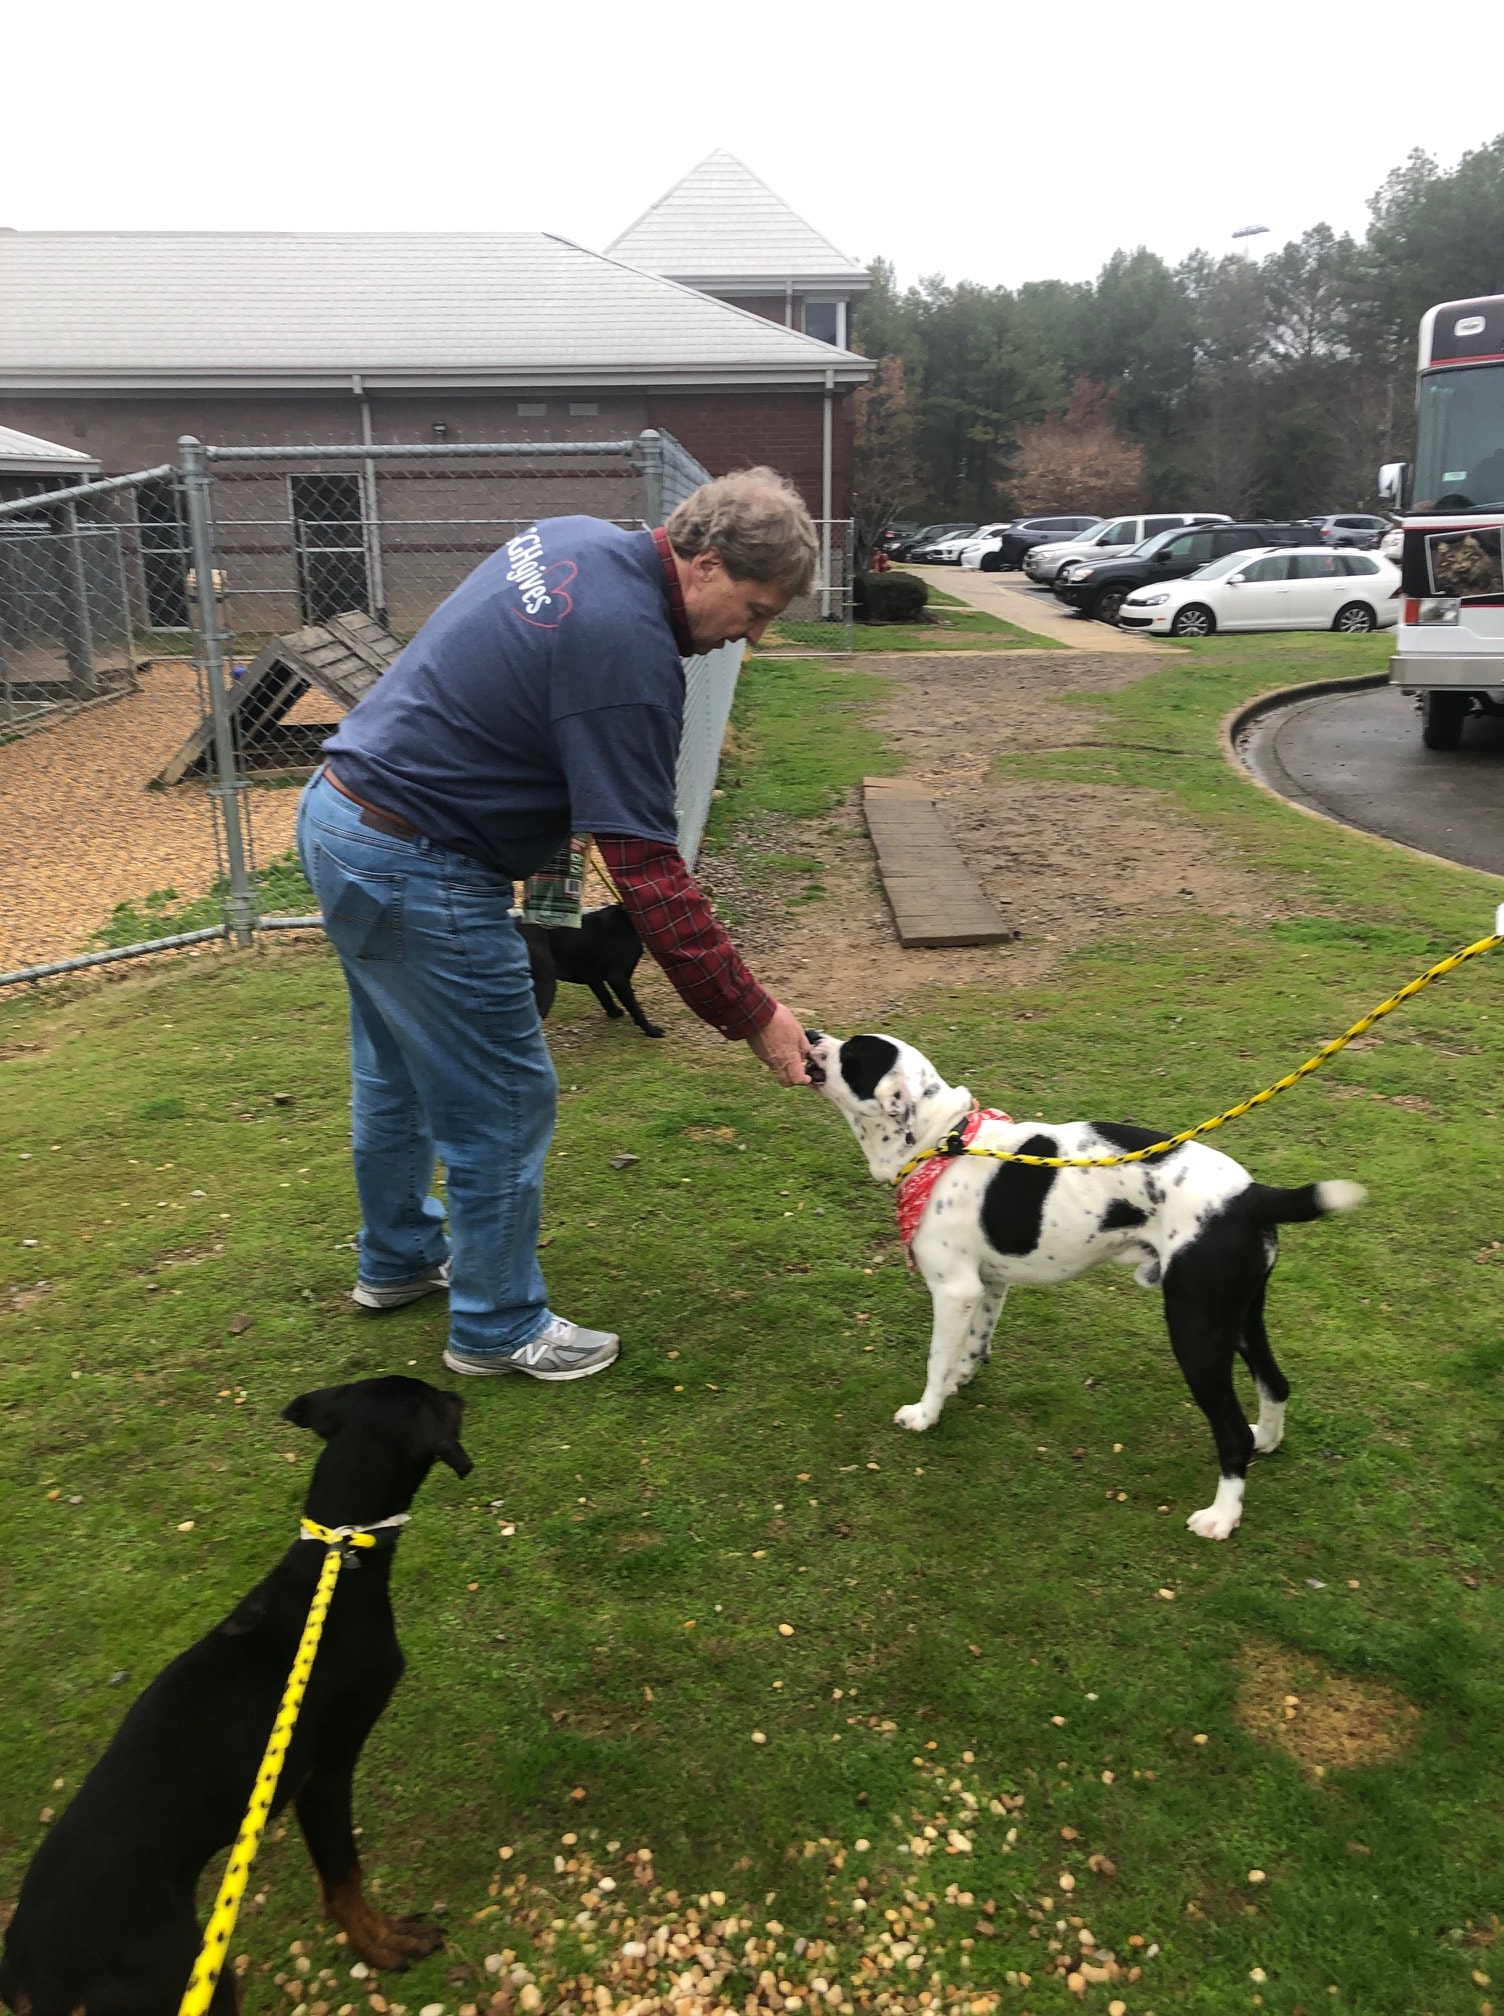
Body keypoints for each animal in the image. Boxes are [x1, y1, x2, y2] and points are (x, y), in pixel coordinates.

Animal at [1, 1378, 467, 2007]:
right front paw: (384, 1946)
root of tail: (28, 1967)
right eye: (434, 1397)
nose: (462, 1394)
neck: (333, 1560)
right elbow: (344, 1881)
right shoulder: (325, 1774)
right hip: (193, 1977)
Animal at [520, 907, 661, 1048]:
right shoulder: (618, 978)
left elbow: (605, 996)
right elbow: (635, 1007)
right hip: (546, 985)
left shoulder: (593, 978)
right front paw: (651, 1030)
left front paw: (614, 1012)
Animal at [802, 1032, 1362, 1532]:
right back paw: (1266, 1439)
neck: (941, 1142)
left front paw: (925, 1413)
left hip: (1196, 1328)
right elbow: (975, 1345)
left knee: (1229, 1433)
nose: (810, 1035)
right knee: (1275, 1383)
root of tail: (1249, 1195)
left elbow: (936, 1362)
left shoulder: (953, 1291)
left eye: (852, 1055)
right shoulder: (988, 1286)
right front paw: (964, 1376)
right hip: (1240, 1317)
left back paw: (1221, 1517)